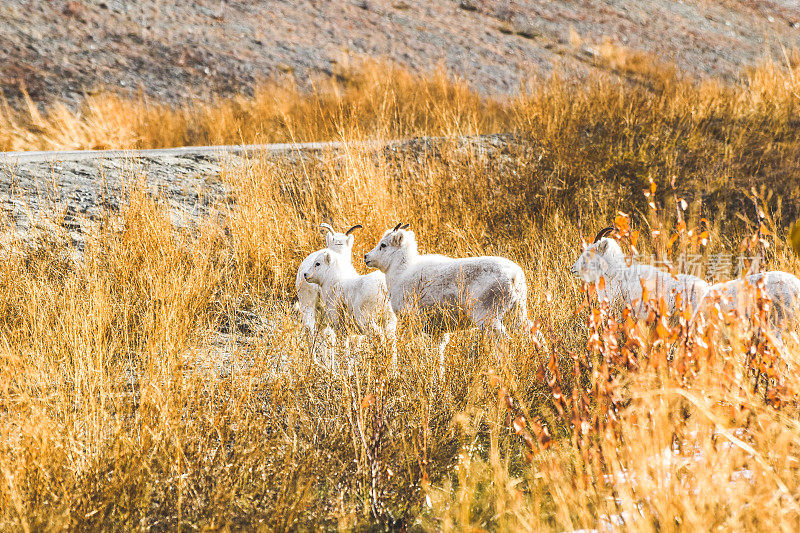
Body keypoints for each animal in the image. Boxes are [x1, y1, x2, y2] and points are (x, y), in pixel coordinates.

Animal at [362, 221, 532, 370]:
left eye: (383, 245)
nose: (366, 257)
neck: (402, 272)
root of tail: (514, 276)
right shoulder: (439, 332)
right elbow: (439, 354)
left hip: (488, 318)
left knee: (503, 341)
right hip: (516, 313)